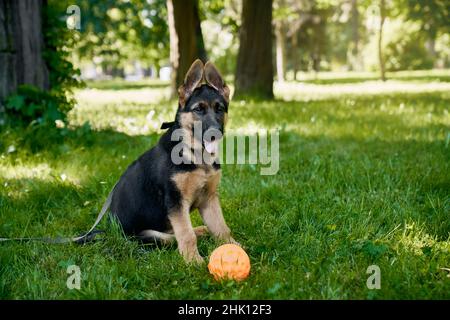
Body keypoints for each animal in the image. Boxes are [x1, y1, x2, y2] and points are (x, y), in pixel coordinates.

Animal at [109, 59, 237, 262]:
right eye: (198, 109)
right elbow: (186, 234)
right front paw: (193, 261)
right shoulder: (175, 201)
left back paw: (202, 230)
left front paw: (233, 247)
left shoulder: (209, 198)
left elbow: (221, 227)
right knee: (171, 238)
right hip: (147, 236)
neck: (195, 153)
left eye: (220, 109)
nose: (214, 134)